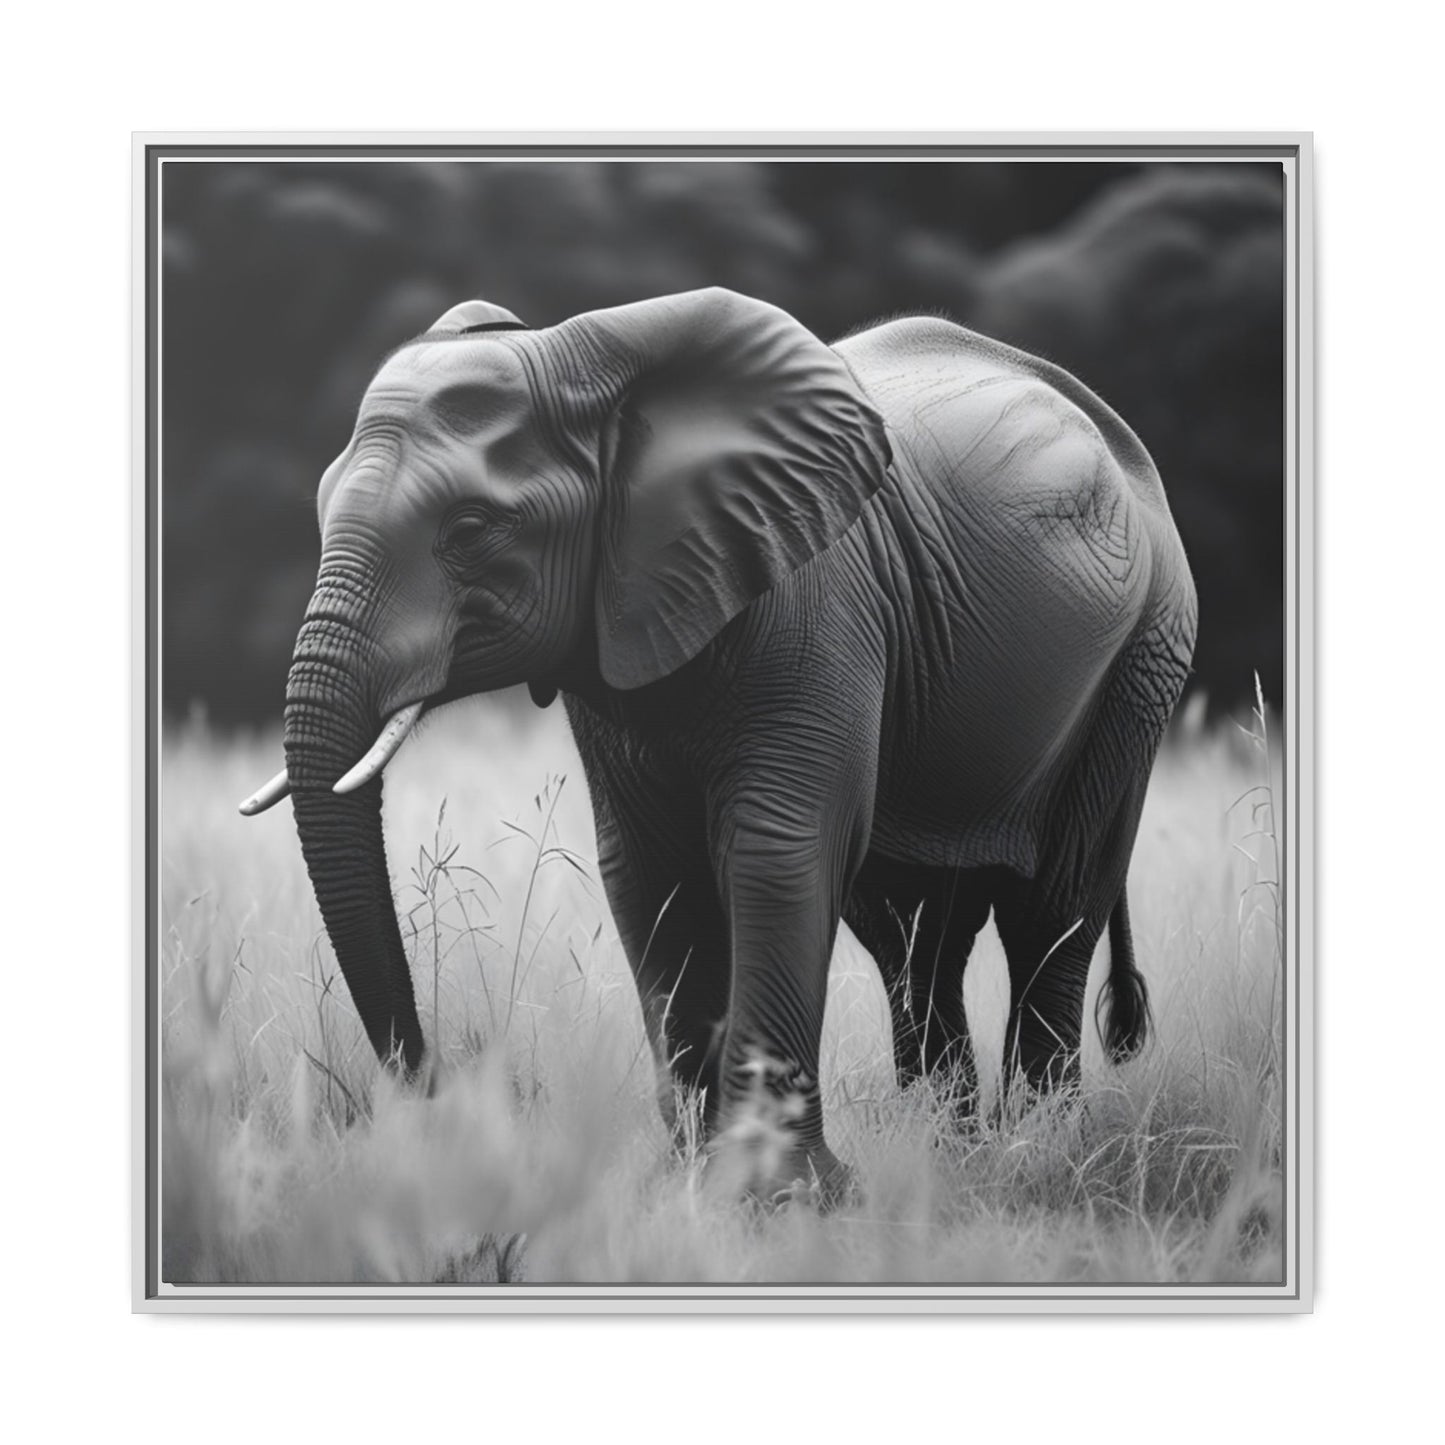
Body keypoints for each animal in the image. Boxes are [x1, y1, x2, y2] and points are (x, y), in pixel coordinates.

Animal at [240, 287, 1197, 1202]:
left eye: (471, 529)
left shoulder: (815, 600)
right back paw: (948, 1150)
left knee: (1053, 907)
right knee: (912, 932)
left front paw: (778, 1198)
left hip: (1143, 658)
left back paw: (1037, 1151)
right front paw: (691, 1184)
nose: (443, 1098)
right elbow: (646, 870)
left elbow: (776, 849)